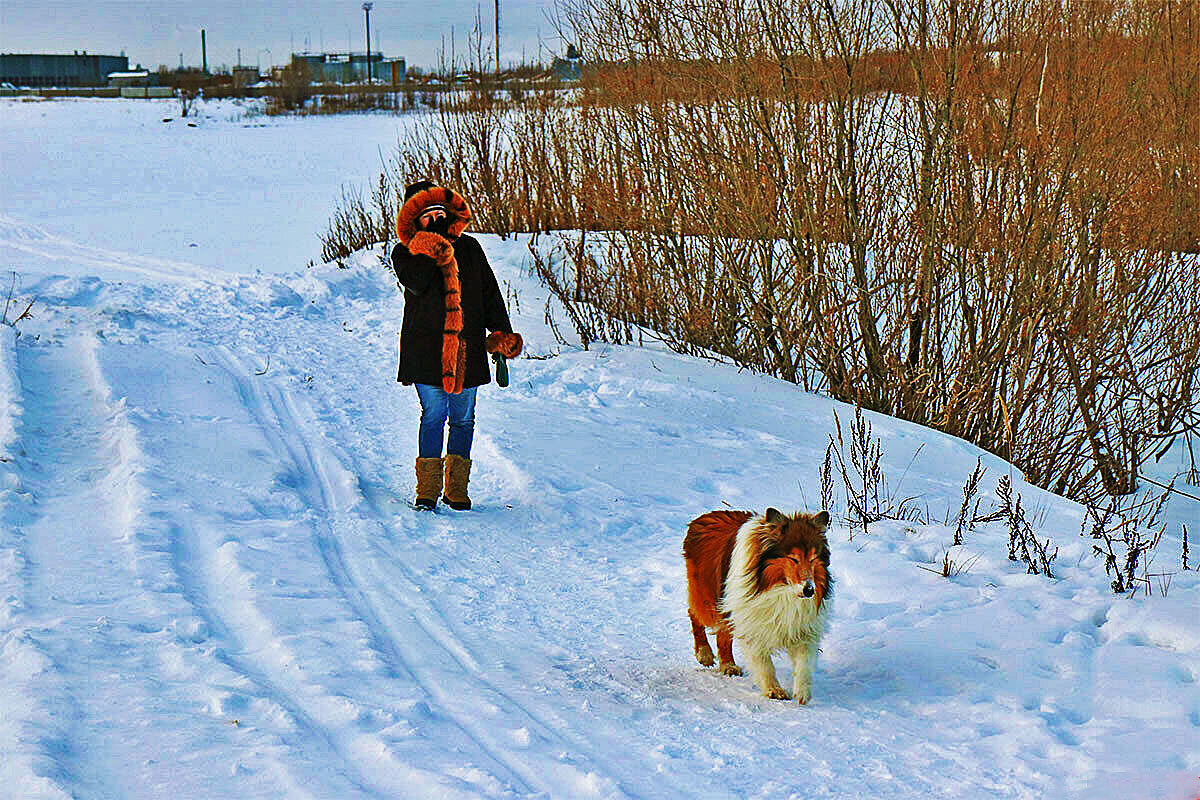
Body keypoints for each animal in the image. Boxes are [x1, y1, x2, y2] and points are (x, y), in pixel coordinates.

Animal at [686, 510, 835, 705]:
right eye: (793, 558)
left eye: (812, 559)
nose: (809, 590)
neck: (780, 589)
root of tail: (703, 517)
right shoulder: (751, 622)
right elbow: (764, 664)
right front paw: (774, 690)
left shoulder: (803, 628)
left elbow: (804, 663)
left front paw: (802, 693)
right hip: (710, 601)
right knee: (694, 614)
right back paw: (704, 653)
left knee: (723, 634)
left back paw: (728, 665)